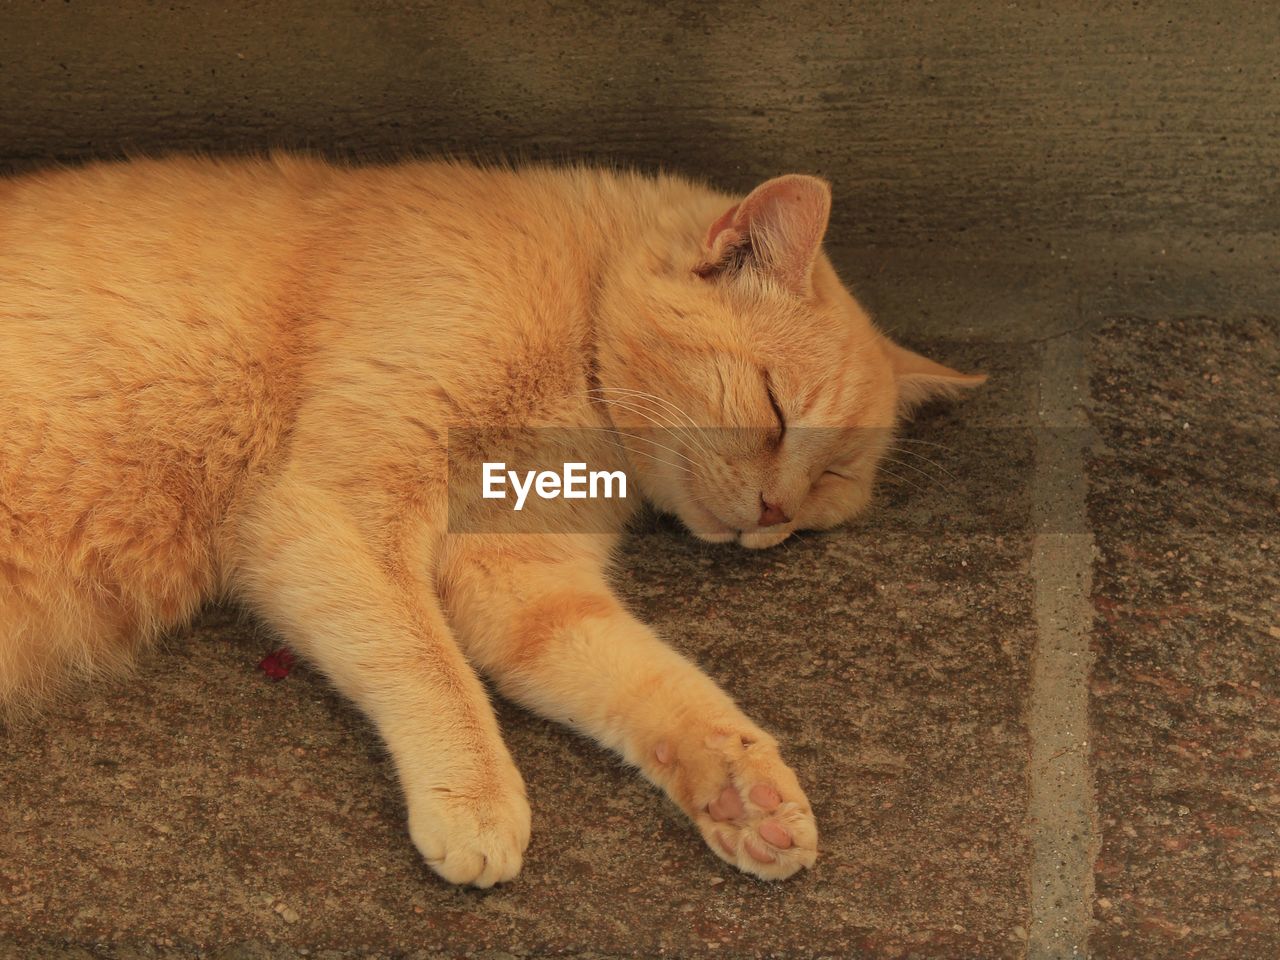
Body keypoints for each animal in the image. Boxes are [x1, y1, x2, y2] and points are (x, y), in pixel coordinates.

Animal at [0, 156, 983, 885]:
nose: (774, 515)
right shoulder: (344, 506)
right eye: (777, 414)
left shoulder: (516, 578)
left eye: (830, 485)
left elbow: (647, 678)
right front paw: (477, 799)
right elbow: (426, 664)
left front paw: (743, 788)